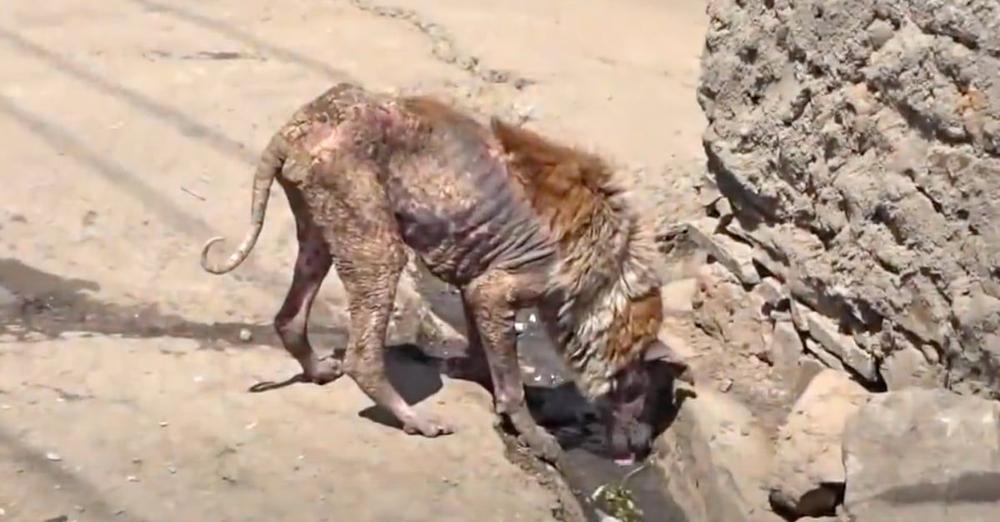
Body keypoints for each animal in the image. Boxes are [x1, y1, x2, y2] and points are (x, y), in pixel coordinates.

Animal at [203, 83, 688, 466]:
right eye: (648, 397)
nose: (644, 450)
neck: (611, 283)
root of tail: (299, 124)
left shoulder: (478, 283)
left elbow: (484, 347)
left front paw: (470, 369)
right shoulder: (498, 289)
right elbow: (511, 384)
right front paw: (536, 436)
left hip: (322, 234)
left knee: (290, 317)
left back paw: (320, 370)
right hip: (377, 248)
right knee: (362, 357)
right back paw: (414, 420)